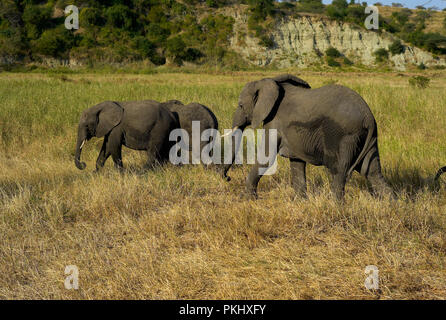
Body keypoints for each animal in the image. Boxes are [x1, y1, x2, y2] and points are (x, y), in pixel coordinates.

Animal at [222, 74, 390, 200]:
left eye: (241, 105)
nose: (227, 178)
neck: (269, 81)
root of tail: (368, 117)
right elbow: (296, 163)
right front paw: (301, 201)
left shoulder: (274, 121)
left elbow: (266, 157)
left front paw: (247, 198)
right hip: (366, 138)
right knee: (373, 172)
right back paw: (392, 206)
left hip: (344, 137)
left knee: (338, 172)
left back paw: (337, 207)